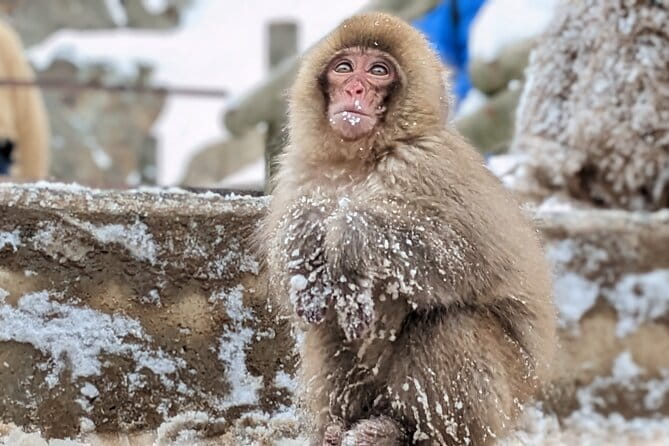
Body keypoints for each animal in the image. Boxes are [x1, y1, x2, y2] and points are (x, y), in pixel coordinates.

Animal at [259, 12, 557, 446]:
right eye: (344, 67)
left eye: (378, 71)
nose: (355, 88)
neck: (360, 159)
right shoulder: (300, 174)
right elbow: (292, 281)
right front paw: (306, 228)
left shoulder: (428, 166)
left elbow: (463, 259)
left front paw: (347, 236)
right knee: (327, 329)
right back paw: (340, 429)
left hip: (505, 397)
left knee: (449, 324)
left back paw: (406, 433)